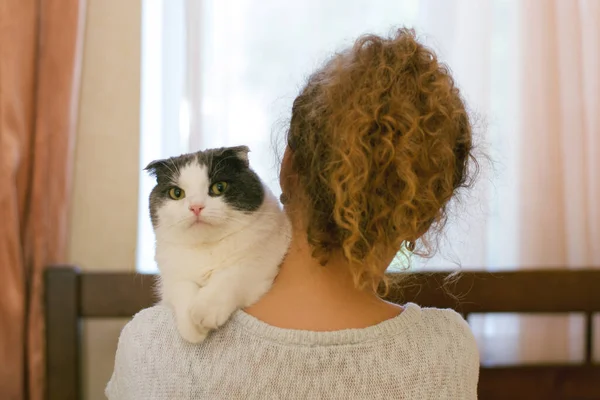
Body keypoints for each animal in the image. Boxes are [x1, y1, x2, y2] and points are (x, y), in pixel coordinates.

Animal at [145, 145, 290, 342]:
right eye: (177, 193)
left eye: (219, 187)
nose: (196, 207)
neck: (207, 248)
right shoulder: (170, 277)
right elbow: (182, 286)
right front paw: (192, 329)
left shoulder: (260, 263)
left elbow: (231, 275)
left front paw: (205, 311)